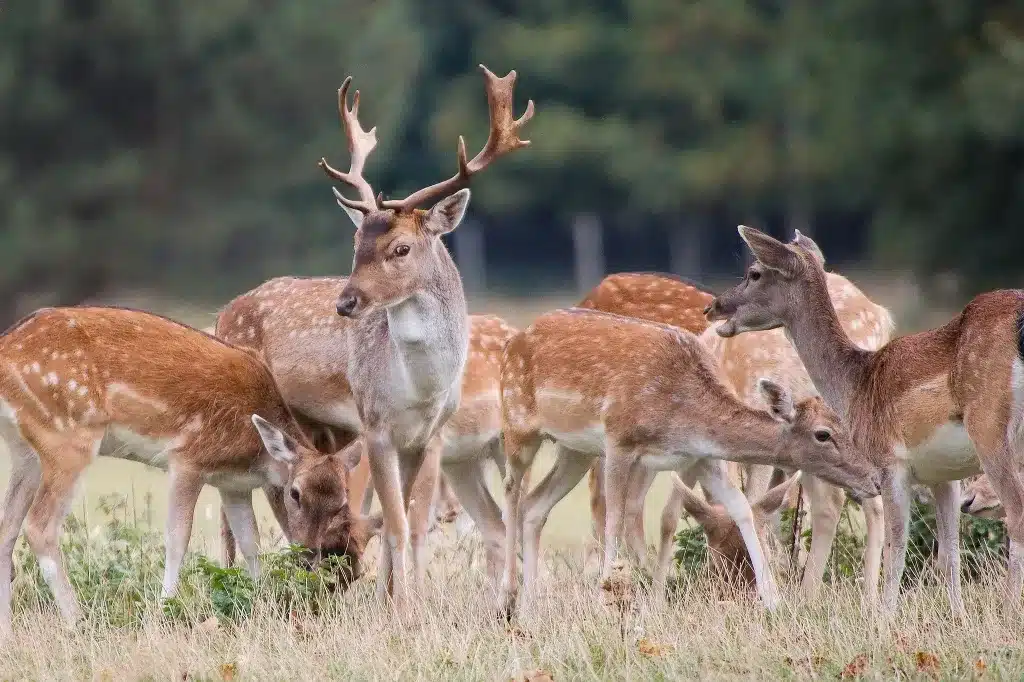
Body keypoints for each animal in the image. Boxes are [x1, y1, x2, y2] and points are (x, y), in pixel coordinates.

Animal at [0, 307, 364, 630]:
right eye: (295, 494)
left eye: (341, 502)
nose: (309, 554)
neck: (256, 454)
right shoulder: (188, 459)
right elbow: (178, 537)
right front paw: (163, 610)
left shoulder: (233, 485)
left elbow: (250, 542)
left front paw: (264, 602)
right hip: (68, 437)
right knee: (40, 525)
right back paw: (78, 621)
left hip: (26, 451)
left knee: (8, 528)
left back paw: (9, 629)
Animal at [307, 66, 532, 606]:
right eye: (356, 243)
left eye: (401, 248)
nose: (345, 303)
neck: (418, 393)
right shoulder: (378, 429)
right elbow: (394, 522)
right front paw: (396, 604)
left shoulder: (429, 439)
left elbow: (410, 524)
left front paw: (410, 605)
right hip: (467, 459)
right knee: (496, 522)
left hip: (506, 440)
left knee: (518, 512)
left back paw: (513, 600)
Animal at [495, 305, 880, 614]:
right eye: (823, 434)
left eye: (844, 425)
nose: (874, 479)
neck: (682, 416)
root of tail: (511, 343)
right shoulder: (619, 440)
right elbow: (614, 521)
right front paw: (605, 600)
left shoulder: (701, 458)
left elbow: (741, 508)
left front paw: (772, 599)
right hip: (517, 425)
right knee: (512, 492)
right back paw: (506, 598)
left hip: (574, 450)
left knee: (535, 504)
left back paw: (531, 606)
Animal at [704, 227, 1024, 610]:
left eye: (754, 272)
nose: (714, 306)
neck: (856, 384)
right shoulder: (943, 474)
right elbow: (950, 550)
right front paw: (957, 615)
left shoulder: (890, 461)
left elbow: (897, 544)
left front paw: (884, 615)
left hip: (992, 430)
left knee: (1017, 514)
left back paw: (1009, 608)